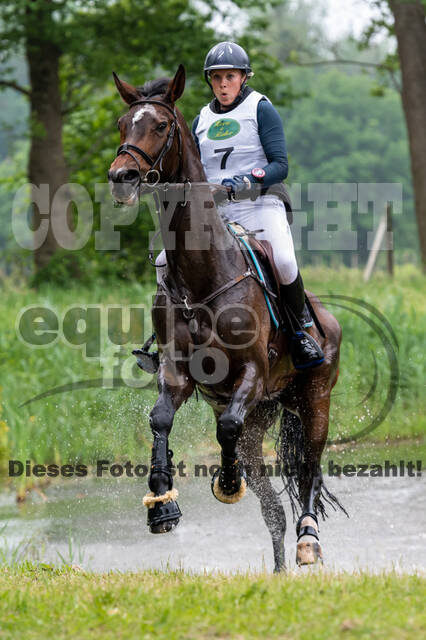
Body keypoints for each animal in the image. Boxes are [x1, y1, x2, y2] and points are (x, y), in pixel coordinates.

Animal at [108, 64, 346, 571]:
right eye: (122, 124)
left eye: (161, 125)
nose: (122, 176)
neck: (202, 274)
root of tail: (328, 319)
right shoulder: (177, 371)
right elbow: (160, 418)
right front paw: (162, 504)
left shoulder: (252, 373)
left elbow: (227, 428)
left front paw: (226, 482)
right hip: (264, 419)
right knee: (273, 509)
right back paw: (278, 565)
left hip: (314, 401)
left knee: (309, 467)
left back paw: (309, 540)